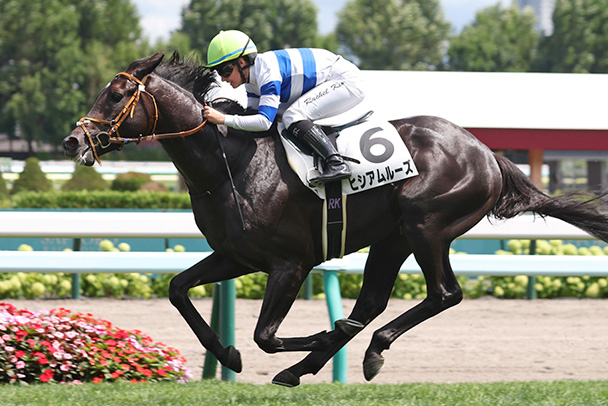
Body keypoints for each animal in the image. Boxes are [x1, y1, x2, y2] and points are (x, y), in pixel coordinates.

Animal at [63, 51, 608, 387]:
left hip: (428, 226)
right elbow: (178, 290)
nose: (72, 141)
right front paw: (229, 356)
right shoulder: (237, 256)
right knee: (370, 302)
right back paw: (314, 363)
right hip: (392, 238)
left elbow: (265, 335)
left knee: (442, 294)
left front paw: (312, 337)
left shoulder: (290, 263)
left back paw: (365, 350)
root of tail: (486, 151)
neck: (229, 163)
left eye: (116, 95)